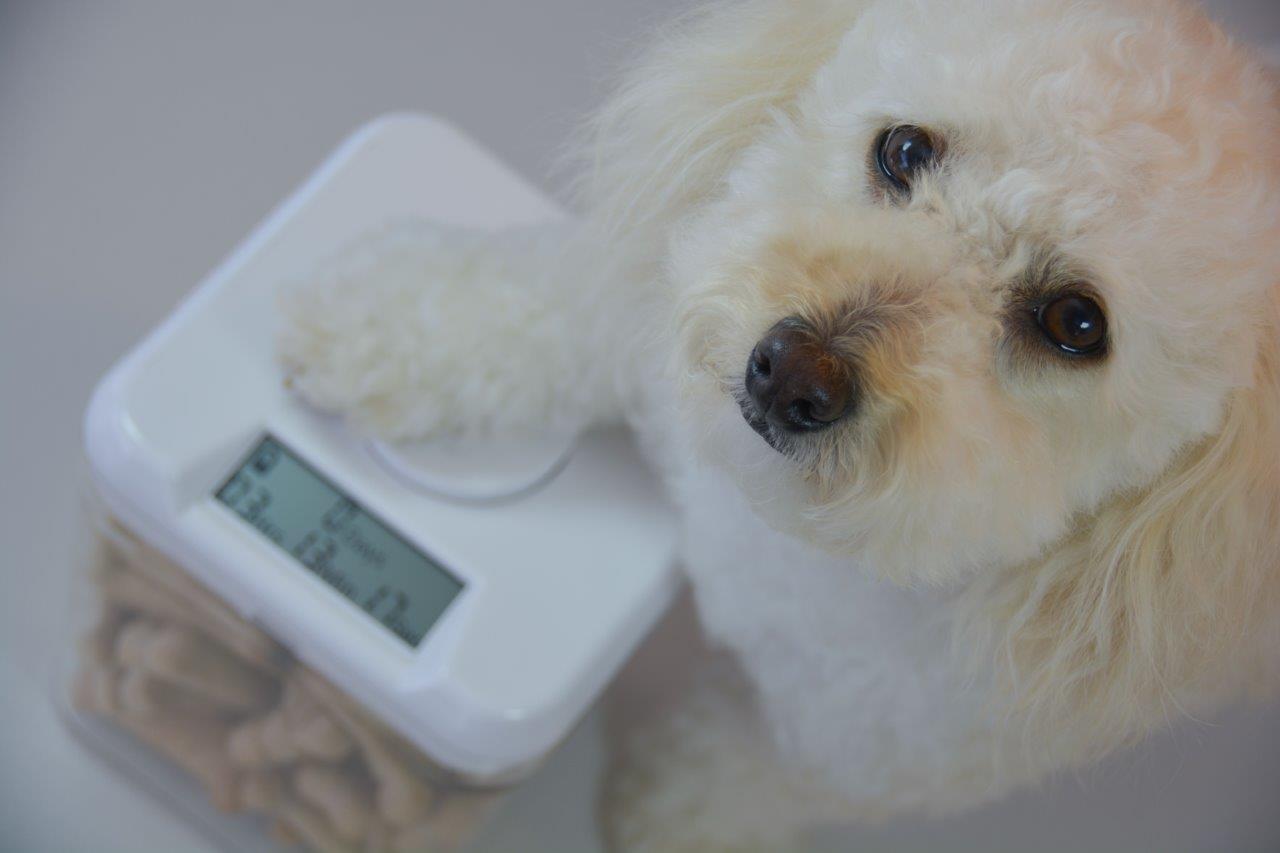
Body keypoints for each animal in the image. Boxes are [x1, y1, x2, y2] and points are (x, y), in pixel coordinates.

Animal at [279, 0, 1280, 848]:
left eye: (1076, 324)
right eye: (903, 148)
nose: (795, 369)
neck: (777, 532)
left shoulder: (872, 747)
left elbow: (745, 772)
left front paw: (676, 814)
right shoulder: (659, 316)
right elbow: (542, 311)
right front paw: (383, 321)